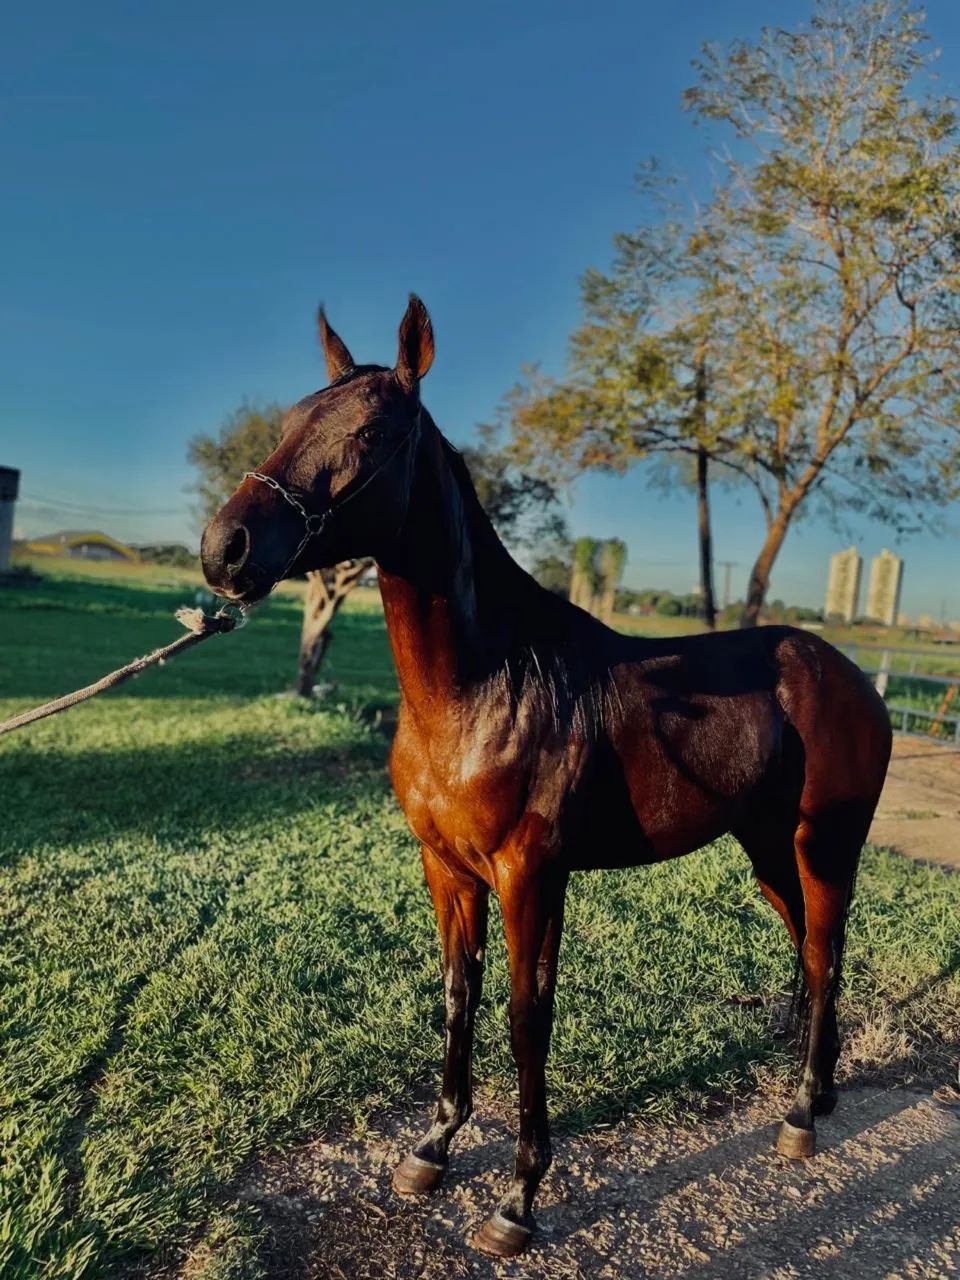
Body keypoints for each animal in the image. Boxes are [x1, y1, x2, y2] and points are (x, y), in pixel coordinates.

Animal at [200, 296, 893, 1259]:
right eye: (289, 421)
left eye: (372, 432)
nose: (224, 549)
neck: (488, 684)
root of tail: (851, 676)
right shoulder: (448, 870)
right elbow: (460, 996)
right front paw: (432, 1150)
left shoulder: (531, 875)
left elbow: (528, 1018)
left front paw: (518, 1198)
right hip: (766, 851)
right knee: (811, 949)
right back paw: (816, 1092)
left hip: (825, 844)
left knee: (824, 955)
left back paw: (798, 1117)